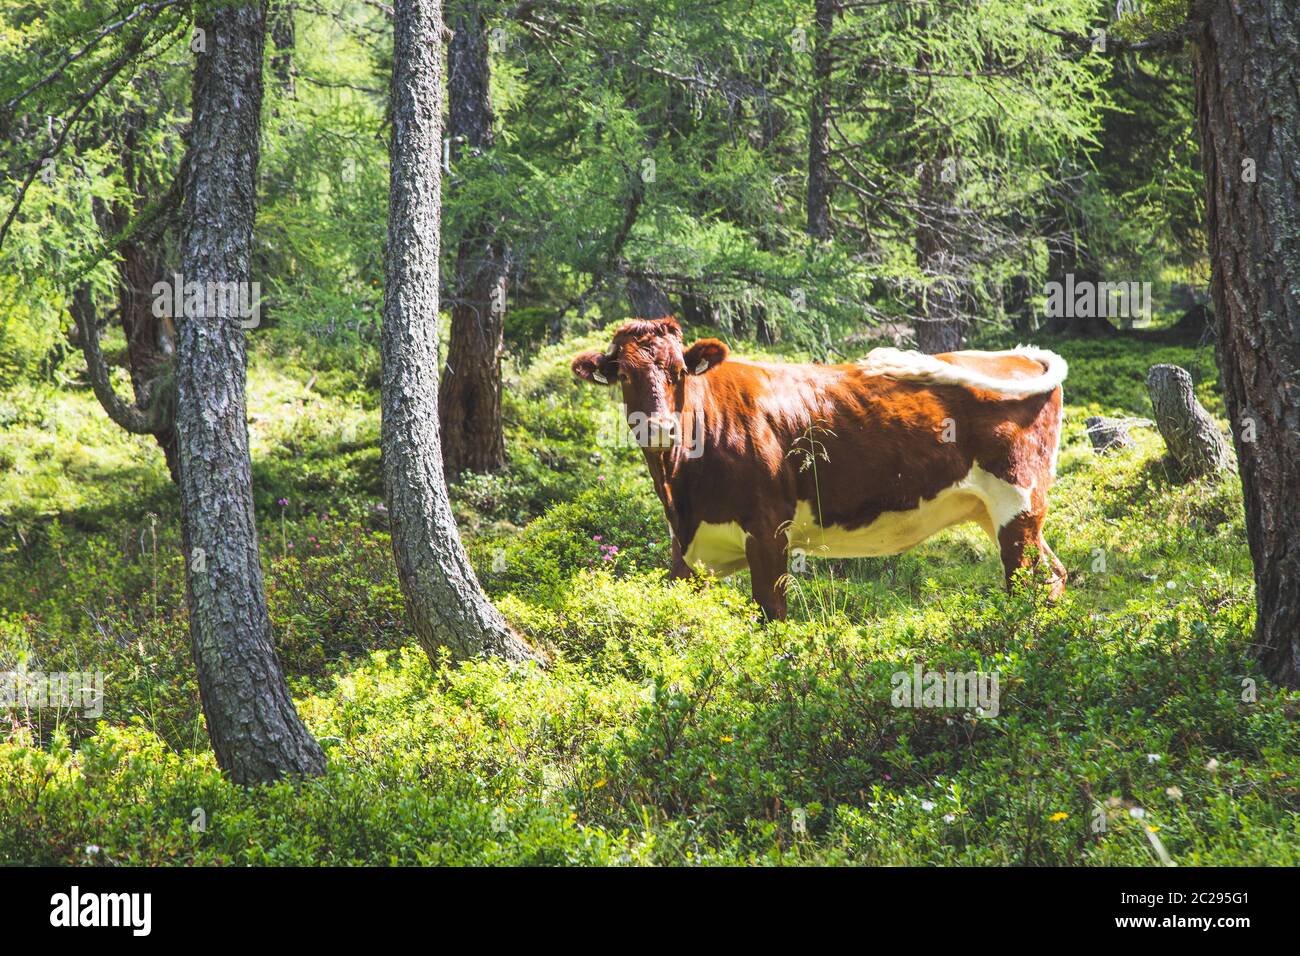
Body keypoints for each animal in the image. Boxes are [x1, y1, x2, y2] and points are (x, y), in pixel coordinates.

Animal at [572, 316, 1067, 620]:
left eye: (678, 372)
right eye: (625, 374)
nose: (659, 428)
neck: (682, 490)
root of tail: (1017, 354)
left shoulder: (769, 531)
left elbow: (771, 615)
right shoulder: (685, 554)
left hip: (1018, 501)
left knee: (1027, 583)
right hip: (1002, 512)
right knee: (1054, 574)